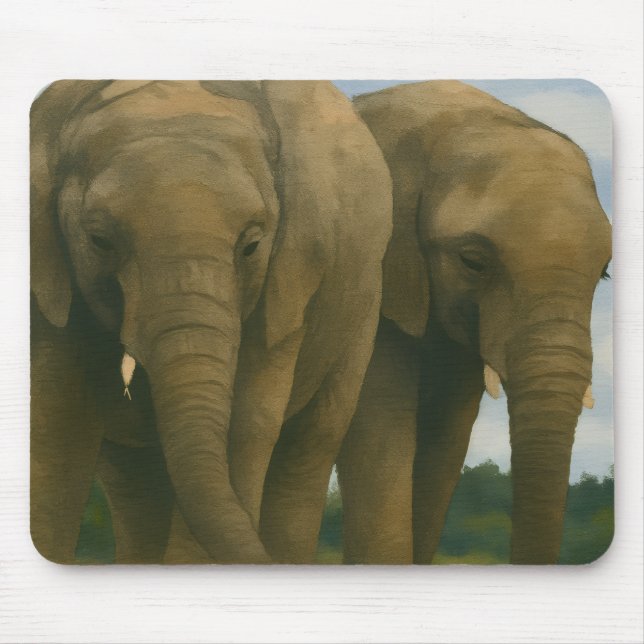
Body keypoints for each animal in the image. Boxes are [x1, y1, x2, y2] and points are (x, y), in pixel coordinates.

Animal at [30, 80, 392, 564]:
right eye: (99, 241)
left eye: (252, 246)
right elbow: (58, 420)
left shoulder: (289, 277)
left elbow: (246, 421)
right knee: (135, 478)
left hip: (362, 308)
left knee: (310, 444)